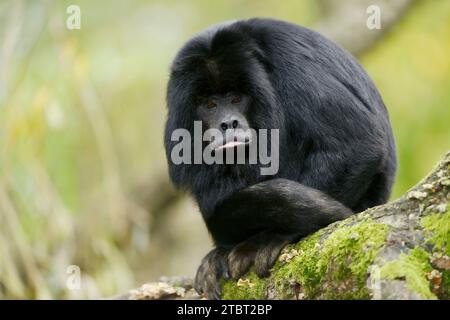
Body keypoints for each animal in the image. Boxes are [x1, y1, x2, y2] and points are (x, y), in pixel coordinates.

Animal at [163, 18, 396, 298]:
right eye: (210, 104)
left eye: (236, 98)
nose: (228, 122)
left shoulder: (292, 65)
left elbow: (358, 145)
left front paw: (267, 239)